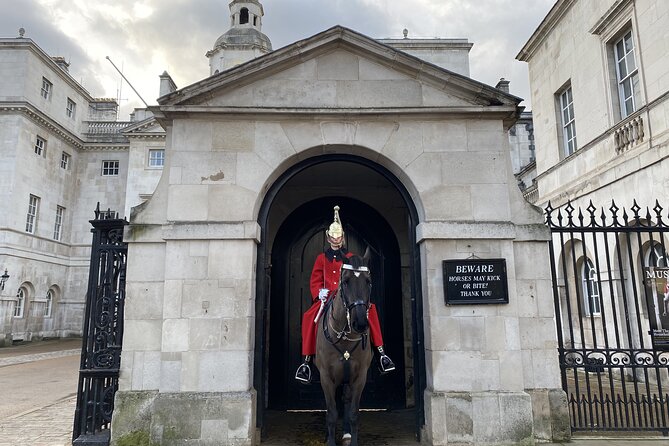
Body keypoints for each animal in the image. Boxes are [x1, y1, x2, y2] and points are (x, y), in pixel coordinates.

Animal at [314, 251, 374, 446]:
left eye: (368, 281)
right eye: (346, 281)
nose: (360, 323)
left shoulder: (360, 377)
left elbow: (354, 413)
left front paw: (352, 439)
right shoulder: (325, 376)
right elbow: (331, 413)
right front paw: (330, 441)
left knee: (346, 401)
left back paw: (346, 434)